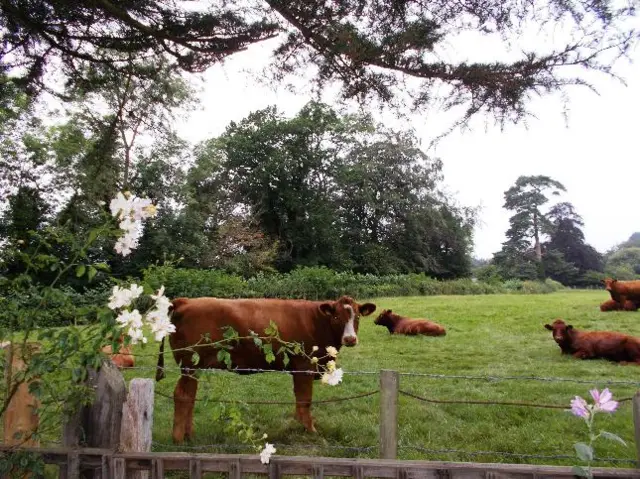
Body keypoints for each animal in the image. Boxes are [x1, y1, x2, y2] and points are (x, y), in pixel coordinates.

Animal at [156, 294, 376, 444]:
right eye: (337, 317)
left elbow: (299, 400)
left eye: (357, 317)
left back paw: (189, 435)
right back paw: (178, 439)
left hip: (194, 367)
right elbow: (305, 401)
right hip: (189, 364)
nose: (350, 339)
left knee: (190, 397)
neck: (317, 321)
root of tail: (185, 301)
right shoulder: (303, 366)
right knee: (182, 395)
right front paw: (311, 430)